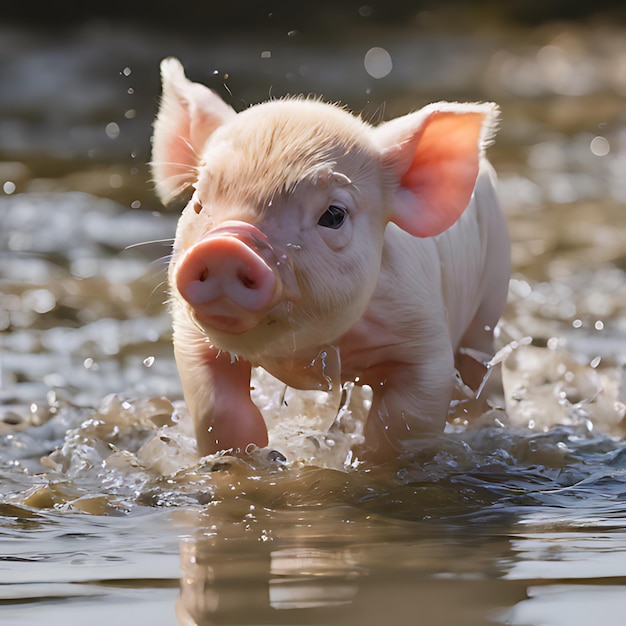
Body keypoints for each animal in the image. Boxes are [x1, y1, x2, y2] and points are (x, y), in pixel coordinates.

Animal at [150, 56, 508, 460]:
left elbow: (404, 419)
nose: (227, 245)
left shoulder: (424, 342)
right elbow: (218, 405)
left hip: (491, 298)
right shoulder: (192, 335)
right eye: (198, 200)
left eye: (334, 215)